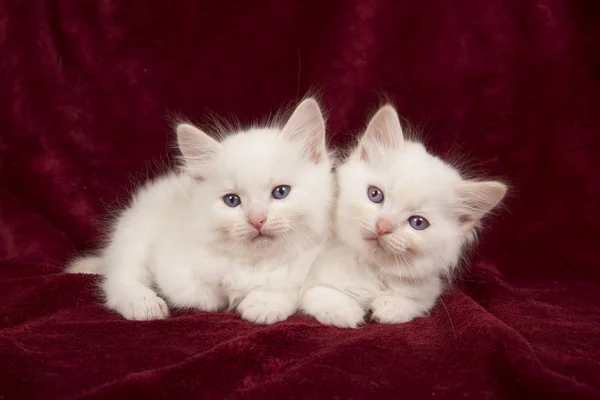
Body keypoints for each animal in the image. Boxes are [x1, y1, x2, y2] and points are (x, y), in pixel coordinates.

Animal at [69, 98, 338, 324]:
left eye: (280, 192)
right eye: (232, 200)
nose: (257, 220)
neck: (255, 262)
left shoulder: (311, 262)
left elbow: (287, 288)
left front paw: (262, 304)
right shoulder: (175, 267)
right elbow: (201, 297)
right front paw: (230, 297)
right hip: (134, 236)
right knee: (118, 280)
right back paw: (143, 304)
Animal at [300, 105, 506, 328]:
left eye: (418, 222)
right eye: (375, 194)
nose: (383, 226)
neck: (372, 269)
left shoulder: (427, 291)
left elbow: (412, 303)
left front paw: (389, 307)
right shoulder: (308, 283)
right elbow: (321, 293)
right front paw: (348, 312)